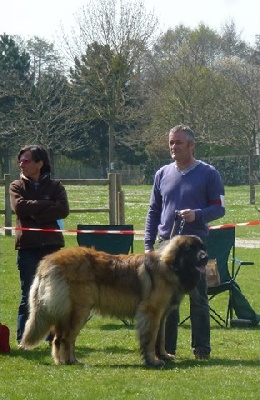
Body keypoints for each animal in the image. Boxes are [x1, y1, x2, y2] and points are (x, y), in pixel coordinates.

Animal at [20, 236, 207, 368]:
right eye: (190, 249)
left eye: (201, 247)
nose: (205, 257)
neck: (170, 267)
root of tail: (48, 261)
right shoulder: (151, 311)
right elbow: (151, 337)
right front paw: (153, 360)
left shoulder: (162, 315)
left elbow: (160, 338)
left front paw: (164, 356)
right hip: (79, 310)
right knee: (67, 338)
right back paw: (72, 361)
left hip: (67, 311)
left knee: (59, 339)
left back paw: (63, 361)